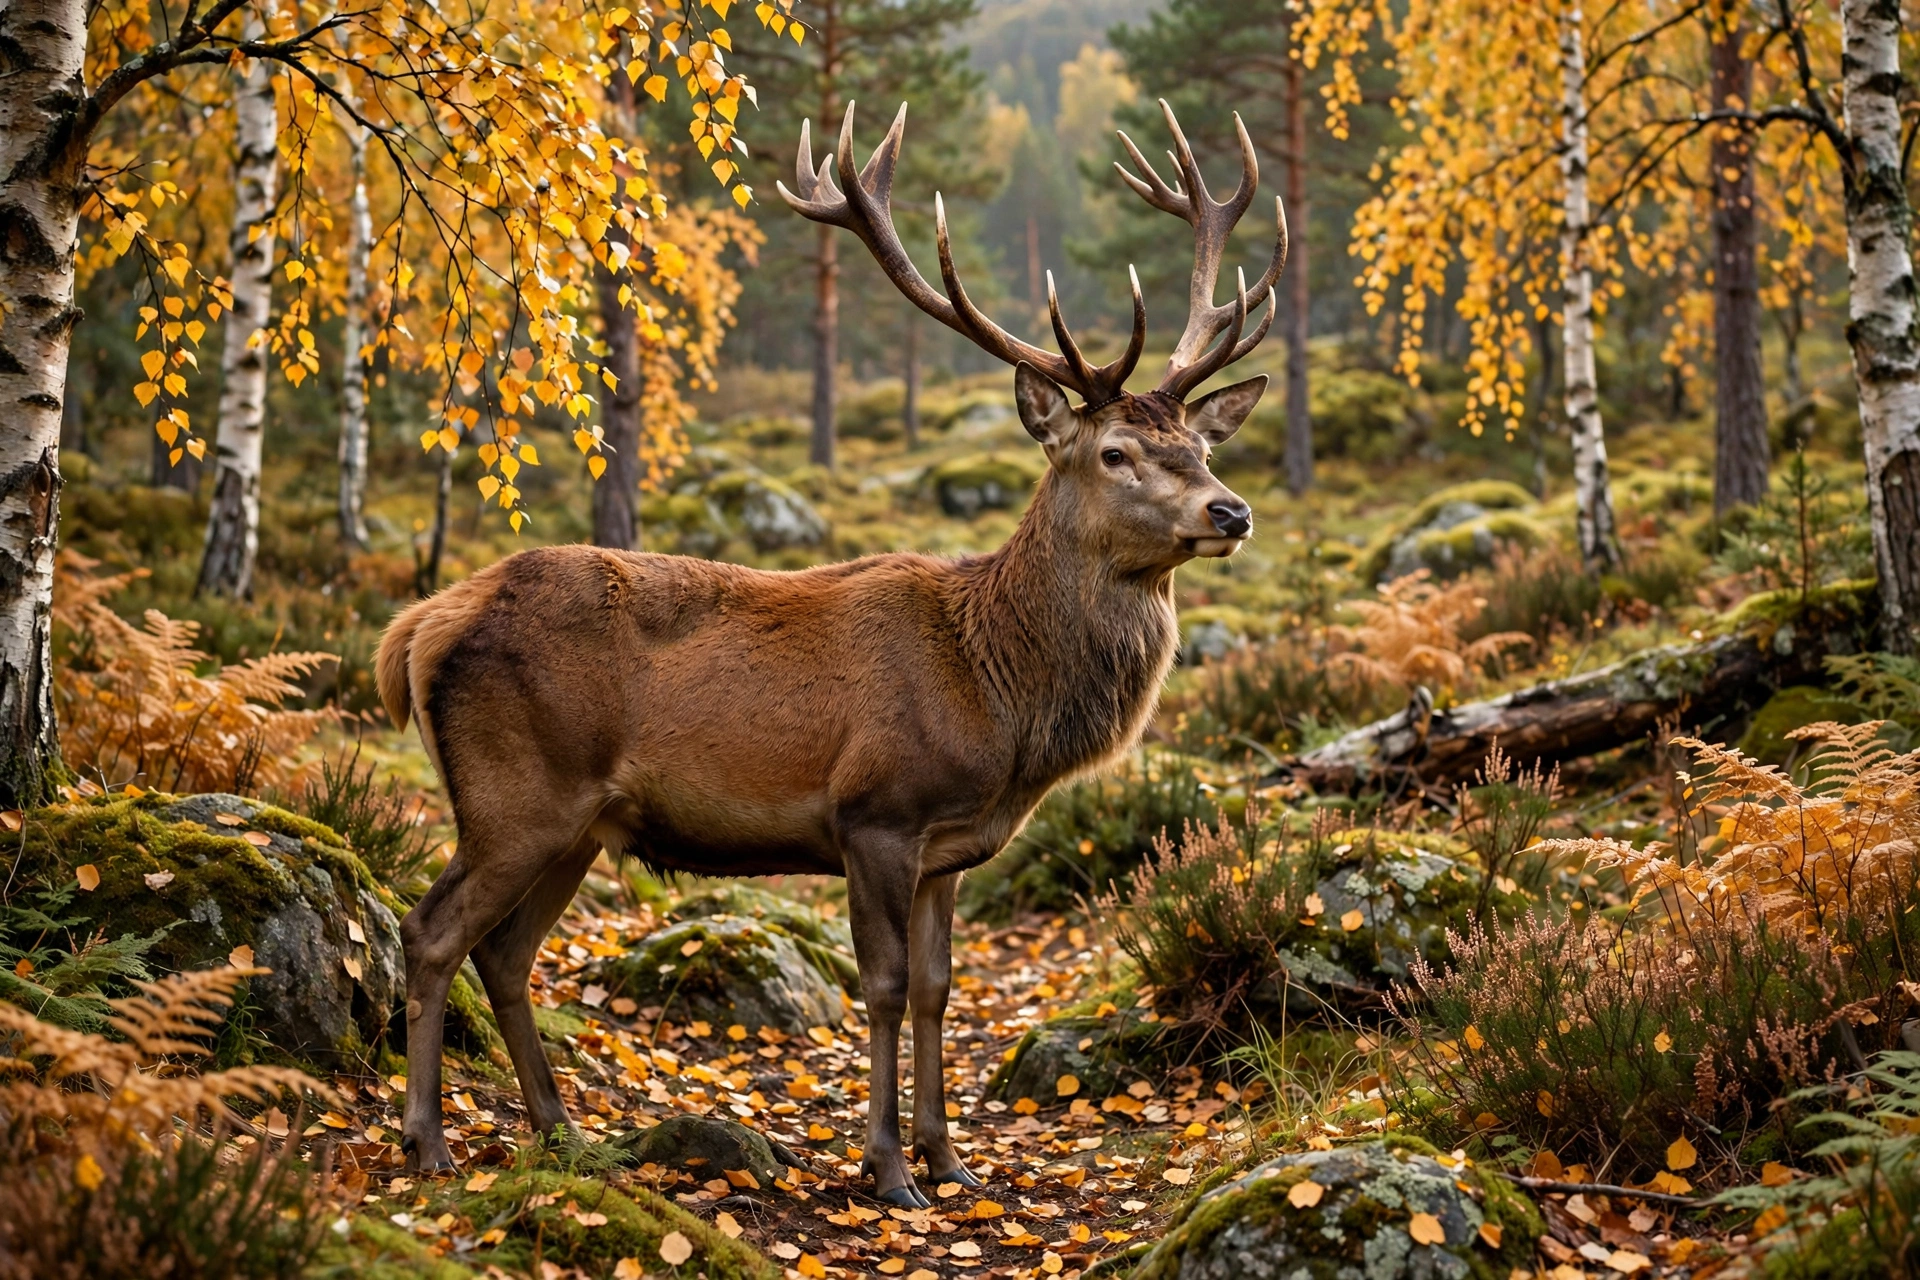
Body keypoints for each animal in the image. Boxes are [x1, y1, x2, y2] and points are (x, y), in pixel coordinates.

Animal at [374, 98, 1286, 1207]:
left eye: (1202, 448)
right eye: (1115, 453)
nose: (1230, 511)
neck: (996, 693)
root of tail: (420, 626)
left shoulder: (948, 848)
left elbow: (939, 988)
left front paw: (950, 1157)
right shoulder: (875, 813)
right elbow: (885, 987)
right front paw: (887, 1166)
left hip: (578, 822)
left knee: (503, 953)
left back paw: (562, 1131)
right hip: (514, 791)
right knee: (430, 932)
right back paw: (427, 1141)